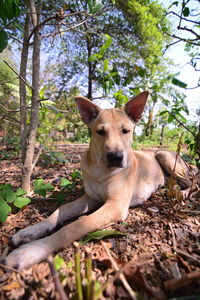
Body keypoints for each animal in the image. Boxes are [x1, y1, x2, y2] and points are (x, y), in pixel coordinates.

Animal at [1, 91, 198, 270]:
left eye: (125, 131)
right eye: (100, 132)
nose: (115, 157)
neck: (101, 171)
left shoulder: (115, 206)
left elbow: (74, 226)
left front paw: (31, 251)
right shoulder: (90, 198)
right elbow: (60, 210)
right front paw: (30, 231)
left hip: (163, 154)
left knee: (191, 183)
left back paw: (180, 192)